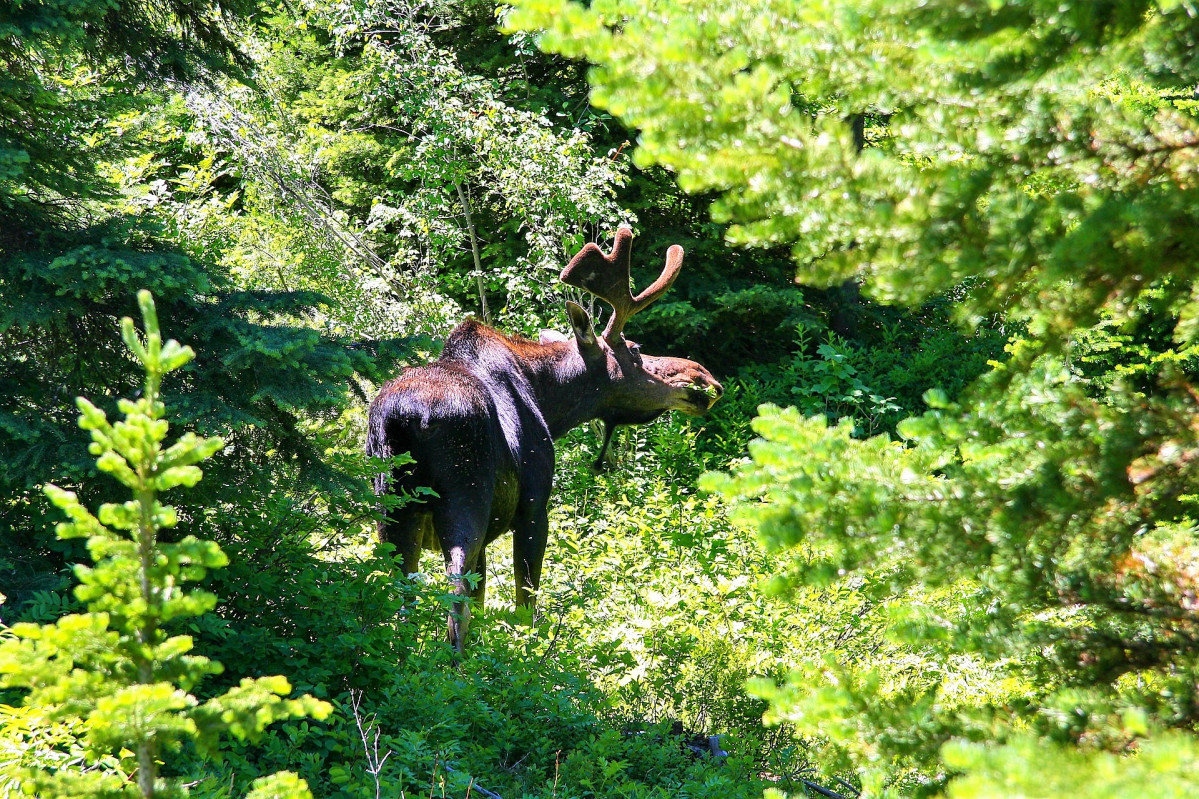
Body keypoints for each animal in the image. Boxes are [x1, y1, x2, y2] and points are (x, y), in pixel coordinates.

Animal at [364, 225, 719, 647]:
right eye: (635, 351)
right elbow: (525, 603)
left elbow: (483, 599)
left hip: (392, 505)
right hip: (464, 499)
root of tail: (408, 418)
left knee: (401, 600)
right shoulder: (534, 506)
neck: (548, 402)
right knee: (455, 597)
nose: (703, 378)